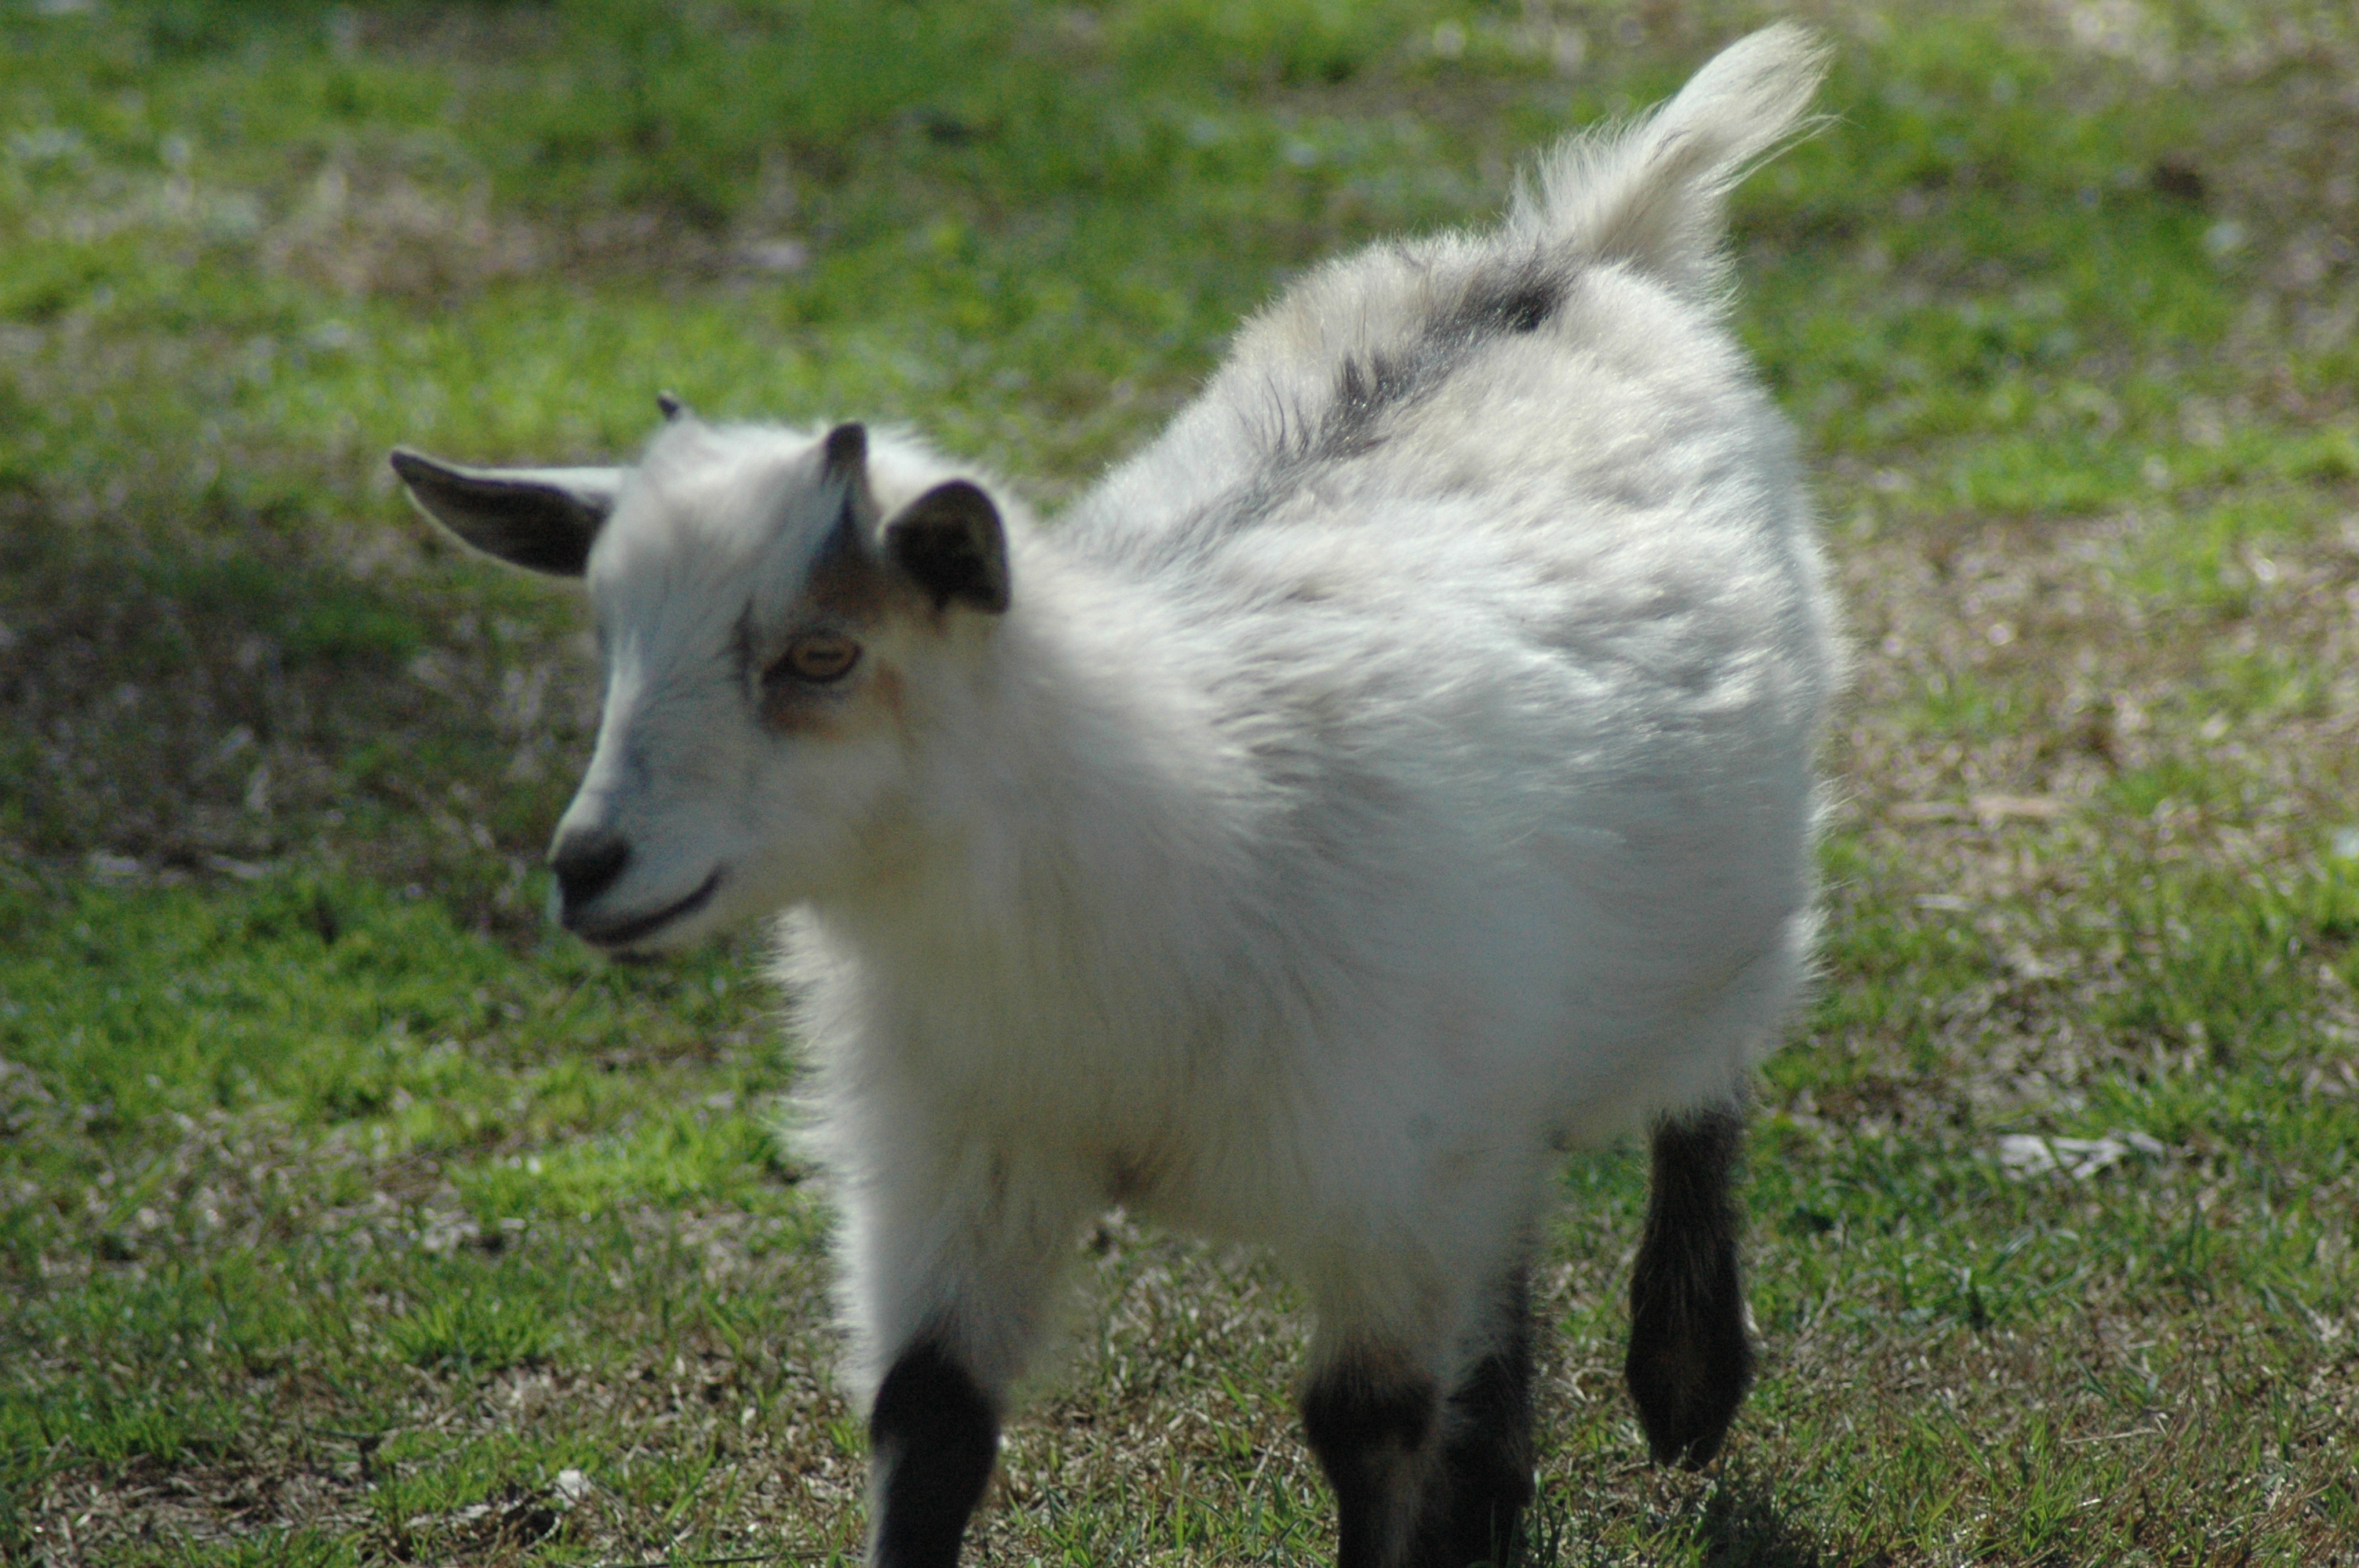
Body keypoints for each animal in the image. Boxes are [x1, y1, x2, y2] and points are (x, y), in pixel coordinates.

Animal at [392, 25, 1836, 1567]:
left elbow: (1367, 1427)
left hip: (1723, 920)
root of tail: (1564, 260)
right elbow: (928, 1419)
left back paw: (1684, 1373)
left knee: (1707, 1090)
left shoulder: (1382, 1183)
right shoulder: (964, 1164)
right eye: (607, 632)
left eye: (823, 653)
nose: (588, 864)